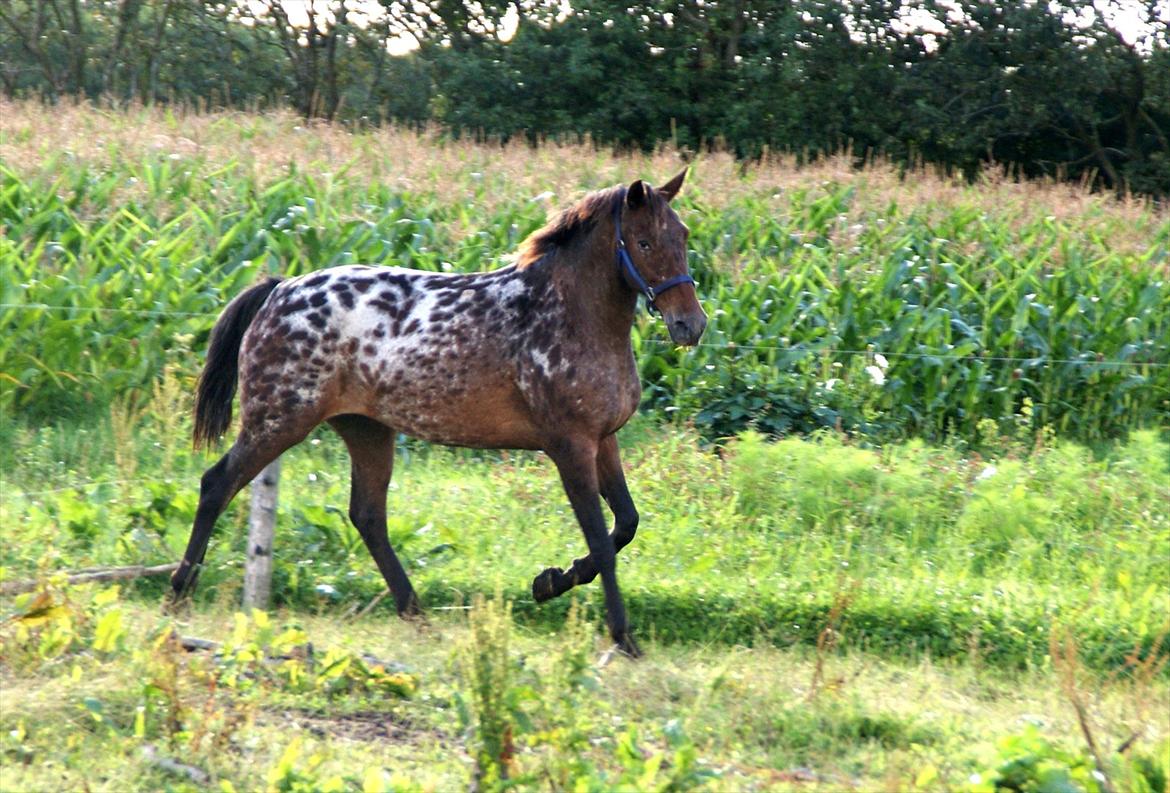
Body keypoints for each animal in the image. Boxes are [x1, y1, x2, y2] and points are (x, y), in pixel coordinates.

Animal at [170, 169, 702, 659]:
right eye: (644, 241)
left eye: (683, 235)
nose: (690, 325)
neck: (568, 313)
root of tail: (278, 292)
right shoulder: (569, 446)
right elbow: (603, 539)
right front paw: (623, 635)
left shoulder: (603, 439)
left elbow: (626, 524)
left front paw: (550, 581)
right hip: (279, 421)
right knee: (216, 485)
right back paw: (179, 593)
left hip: (366, 430)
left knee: (367, 517)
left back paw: (417, 615)